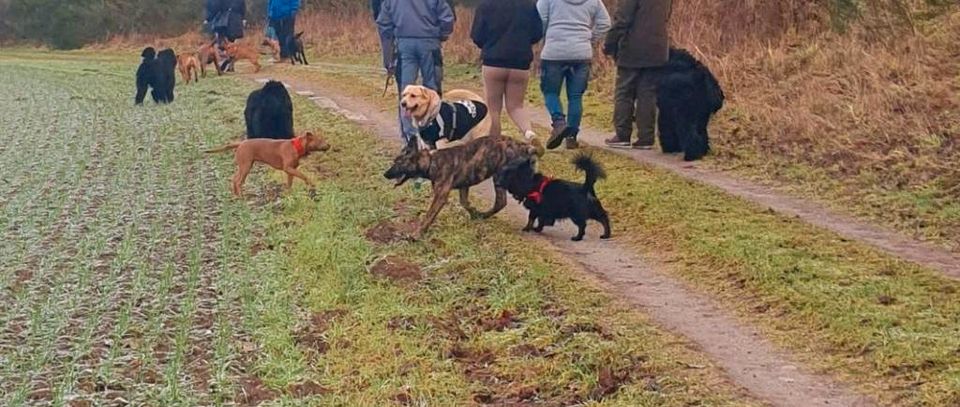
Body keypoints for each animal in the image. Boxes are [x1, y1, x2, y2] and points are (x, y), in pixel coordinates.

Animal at [204, 132, 332, 196]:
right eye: (321, 140)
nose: (329, 145)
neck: (296, 146)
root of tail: (241, 143)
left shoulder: (290, 170)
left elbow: (290, 183)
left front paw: (289, 194)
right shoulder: (288, 168)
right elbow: (303, 175)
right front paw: (310, 183)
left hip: (243, 166)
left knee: (235, 179)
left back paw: (236, 195)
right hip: (246, 166)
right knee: (239, 181)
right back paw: (241, 197)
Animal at [382, 137, 540, 239]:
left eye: (399, 163)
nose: (385, 174)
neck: (432, 161)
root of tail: (526, 147)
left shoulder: (440, 196)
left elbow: (429, 215)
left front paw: (417, 234)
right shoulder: (464, 186)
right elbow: (465, 203)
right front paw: (474, 213)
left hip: (502, 177)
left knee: (502, 202)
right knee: (501, 202)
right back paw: (483, 215)